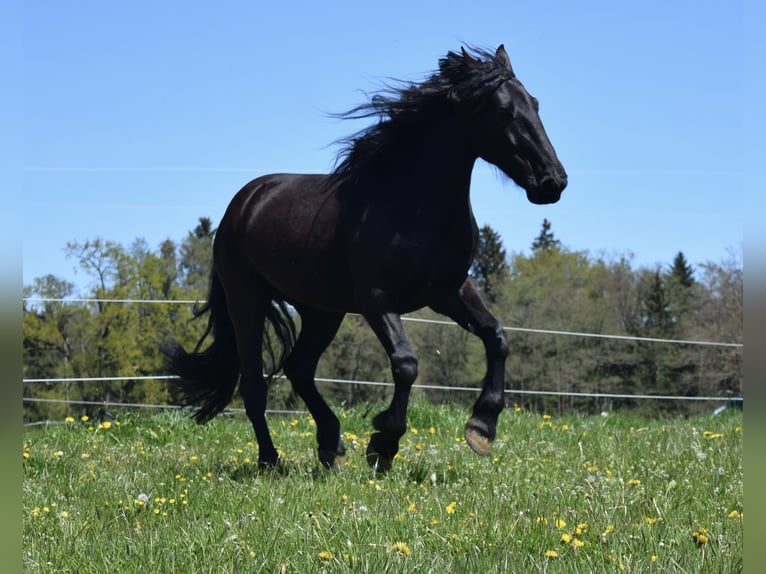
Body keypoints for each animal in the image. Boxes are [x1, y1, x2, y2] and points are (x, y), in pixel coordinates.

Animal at [165, 46, 568, 472]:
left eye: (535, 104)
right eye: (503, 110)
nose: (552, 182)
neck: (414, 205)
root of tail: (244, 202)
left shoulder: (450, 291)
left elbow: (498, 338)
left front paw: (482, 428)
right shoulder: (376, 298)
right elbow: (406, 363)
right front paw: (384, 444)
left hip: (322, 310)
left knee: (299, 368)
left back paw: (331, 446)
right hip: (247, 300)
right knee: (255, 384)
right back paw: (270, 461)